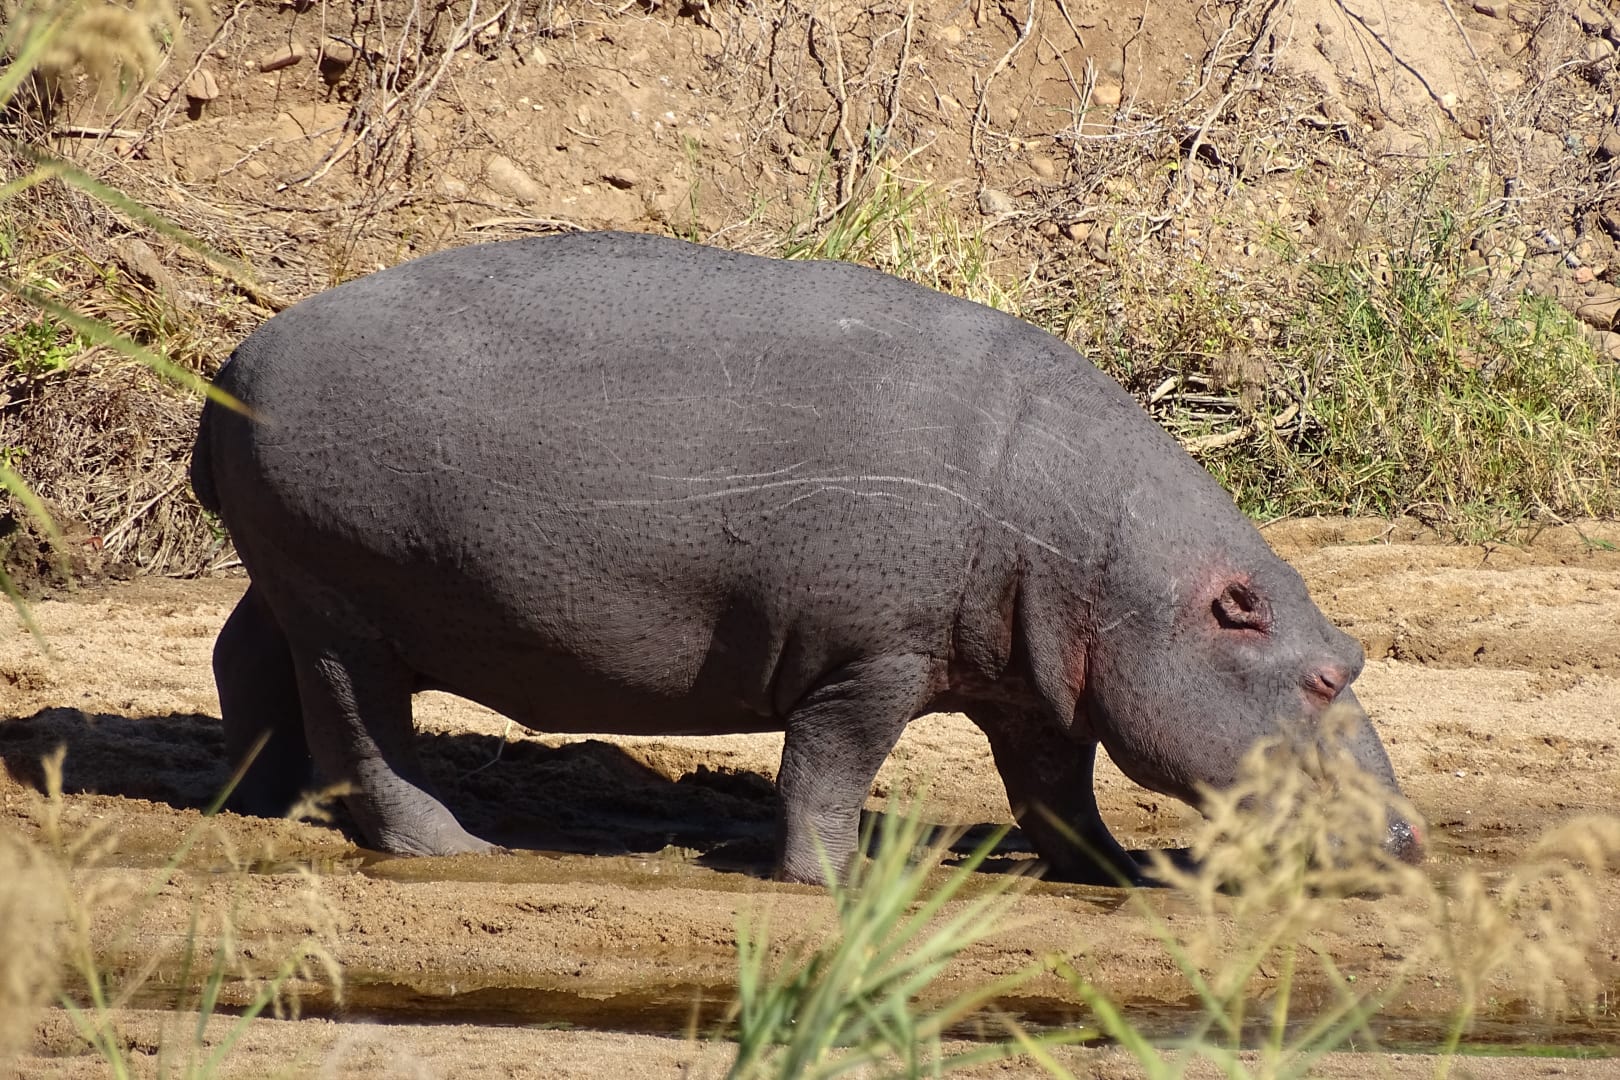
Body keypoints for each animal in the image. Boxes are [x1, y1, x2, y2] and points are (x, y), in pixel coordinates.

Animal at [190, 230, 1421, 885]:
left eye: (1359, 657)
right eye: (1326, 677)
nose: (1411, 836)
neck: (1115, 570)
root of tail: (235, 360)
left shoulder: (1035, 684)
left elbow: (1056, 789)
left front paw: (1114, 869)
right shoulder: (869, 660)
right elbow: (829, 769)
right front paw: (833, 882)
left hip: (286, 581)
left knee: (242, 658)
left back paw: (260, 802)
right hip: (347, 608)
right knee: (367, 731)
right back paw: (457, 849)